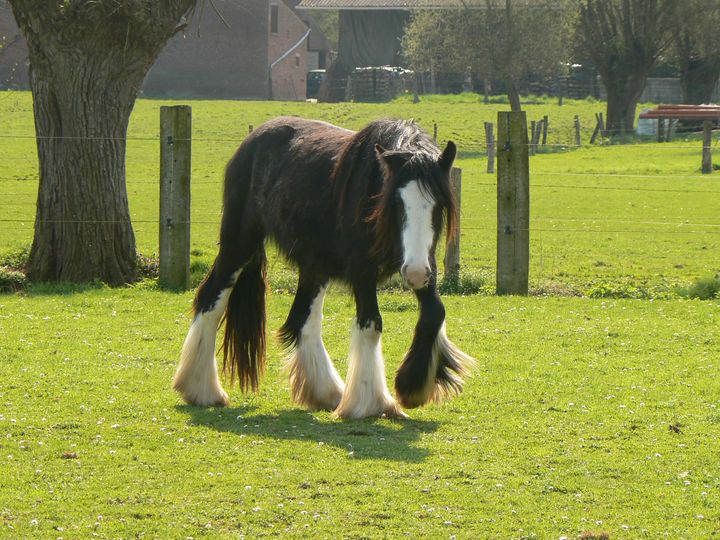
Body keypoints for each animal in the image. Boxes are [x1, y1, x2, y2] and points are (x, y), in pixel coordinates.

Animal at [172, 116, 476, 418]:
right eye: (397, 202)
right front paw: (372, 403)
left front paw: (412, 386)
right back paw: (202, 390)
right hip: (239, 244)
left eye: (438, 204)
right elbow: (371, 325)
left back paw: (327, 392)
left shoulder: (425, 262)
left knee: (301, 321)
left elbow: (435, 312)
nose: (414, 274)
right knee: (211, 300)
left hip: (315, 265)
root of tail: (251, 141)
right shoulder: (362, 271)